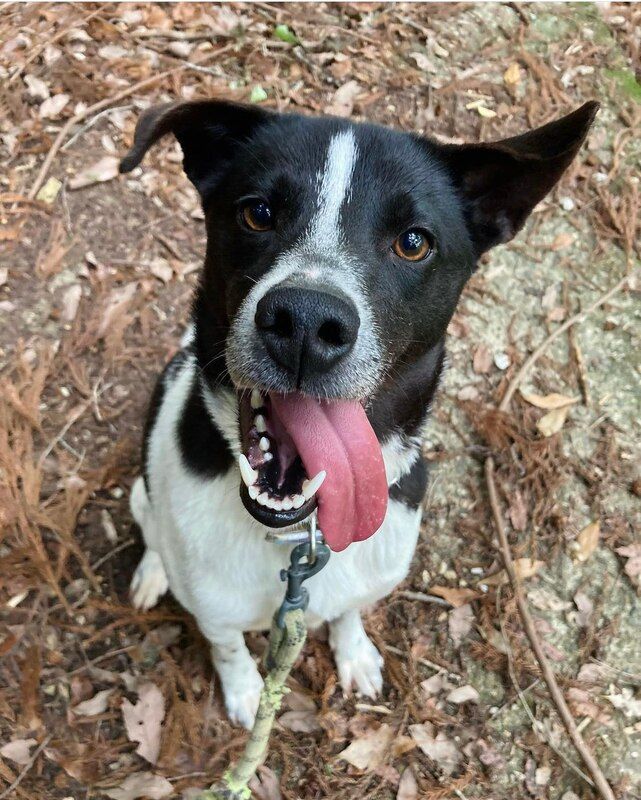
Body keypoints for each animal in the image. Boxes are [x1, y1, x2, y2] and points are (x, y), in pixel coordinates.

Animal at [119, 97, 596, 728]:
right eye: (258, 213)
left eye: (414, 242)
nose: (304, 322)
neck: (298, 537)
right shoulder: (216, 612)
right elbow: (227, 647)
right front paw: (245, 690)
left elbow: (348, 611)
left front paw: (354, 653)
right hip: (142, 494)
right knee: (152, 529)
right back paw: (153, 572)